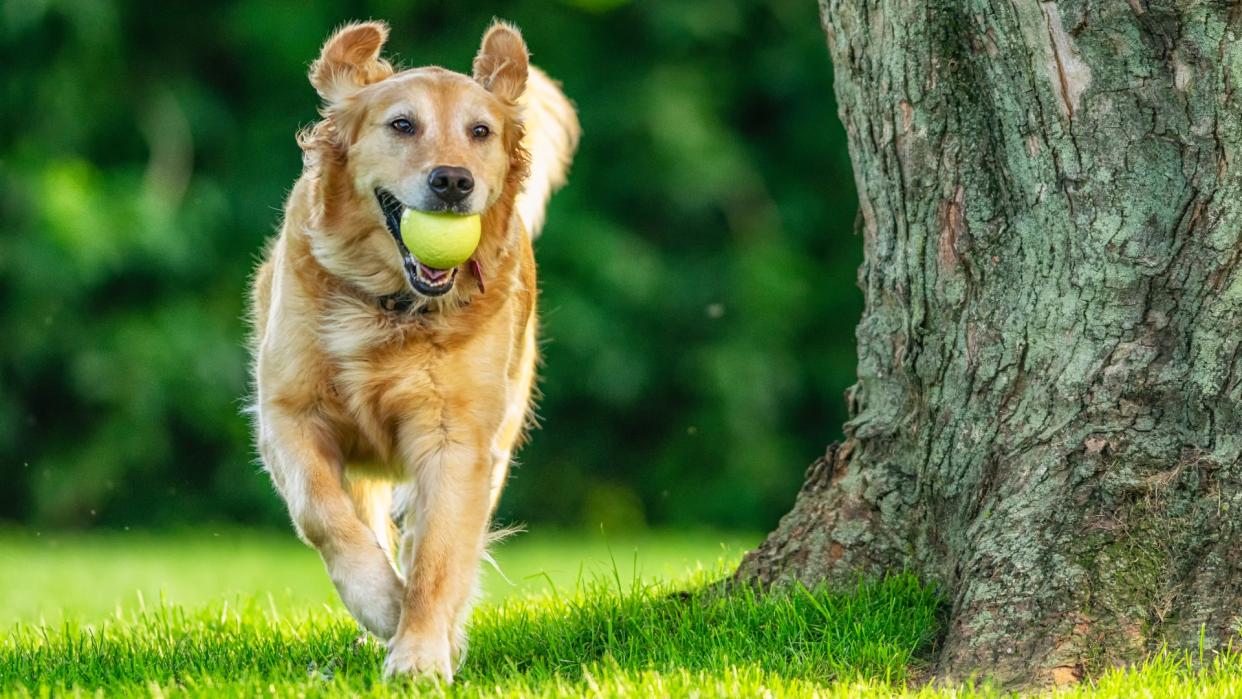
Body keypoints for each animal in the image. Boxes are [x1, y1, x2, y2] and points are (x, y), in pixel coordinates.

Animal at [250, 19, 581, 680]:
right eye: (402, 124)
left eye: (480, 131)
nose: (453, 181)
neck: (389, 306)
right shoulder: (288, 415)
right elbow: (324, 516)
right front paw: (381, 603)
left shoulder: (459, 440)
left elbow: (438, 554)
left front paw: (422, 653)